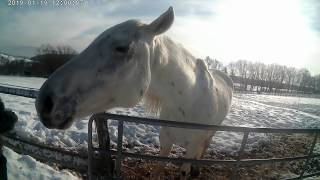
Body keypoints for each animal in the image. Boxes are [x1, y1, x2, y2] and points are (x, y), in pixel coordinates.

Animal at [35, 6, 232, 179]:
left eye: (122, 47)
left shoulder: (191, 148)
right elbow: (158, 170)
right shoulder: (165, 141)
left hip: (208, 137)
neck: (187, 101)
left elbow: (184, 170)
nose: (45, 102)